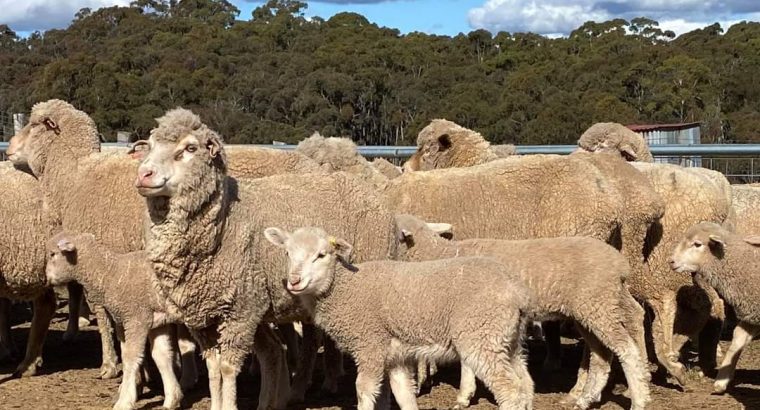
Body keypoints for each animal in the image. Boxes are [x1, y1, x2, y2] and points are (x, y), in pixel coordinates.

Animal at [45, 230, 195, 410]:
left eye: (52, 254)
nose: (46, 279)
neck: (111, 273)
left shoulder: (136, 319)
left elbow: (131, 357)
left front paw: (124, 401)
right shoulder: (154, 322)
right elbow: (161, 355)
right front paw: (173, 398)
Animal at [135, 108, 403, 410]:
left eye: (190, 148)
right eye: (150, 145)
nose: (144, 174)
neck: (225, 219)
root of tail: (375, 195)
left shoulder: (241, 311)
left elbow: (228, 369)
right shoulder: (204, 316)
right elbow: (214, 369)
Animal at [264, 225, 534, 410]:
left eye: (321, 255)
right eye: (287, 253)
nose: (294, 281)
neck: (344, 289)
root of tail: (516, 291)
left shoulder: (370, 345)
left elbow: (363, 391)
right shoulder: (395, 356)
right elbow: (403, 394)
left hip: (482, 335)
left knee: (510, 391)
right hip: (508, 339)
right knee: (525, 384)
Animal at [394, 214, 650, 410]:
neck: (441, 255)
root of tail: (620, 264)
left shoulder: (471, 315)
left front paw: (463, 395)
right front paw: (465, 395)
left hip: (598, 304)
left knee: (627, 350)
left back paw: (638, 399)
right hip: (593, 309)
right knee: (605, 352)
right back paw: (586, 398)